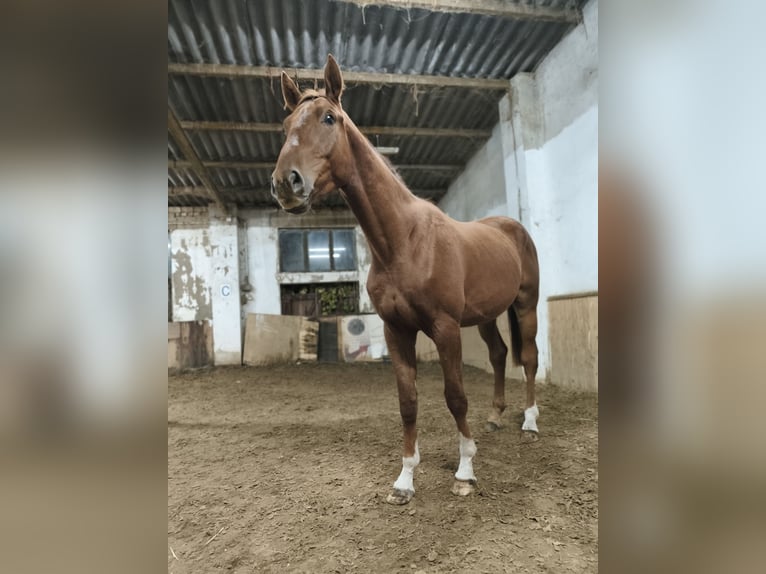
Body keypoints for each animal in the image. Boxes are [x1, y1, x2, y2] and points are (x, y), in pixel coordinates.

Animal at [271, 55, 540, 505]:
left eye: (329, 118)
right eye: (287, 123)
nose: (285, 184)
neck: (403, 242)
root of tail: (512, 228)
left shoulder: (445, 328)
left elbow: (455, 397)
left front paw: (465, 471)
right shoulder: (396, 330)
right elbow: (408, 401)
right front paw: (405, 479)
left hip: (526, 305)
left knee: (531, 358)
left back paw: (531, 423)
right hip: (486, 316)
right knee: (501, 354)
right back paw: (495, 417)